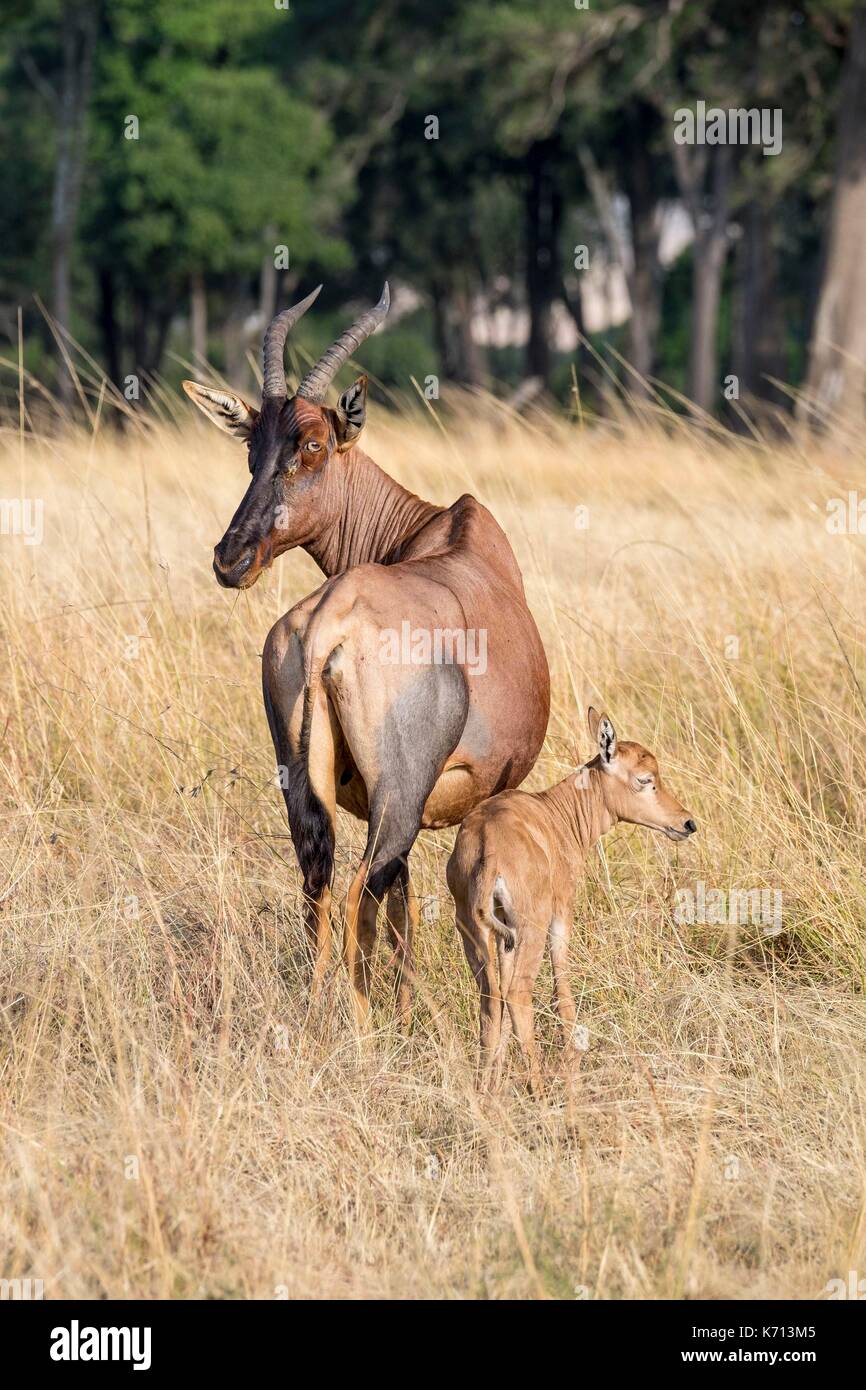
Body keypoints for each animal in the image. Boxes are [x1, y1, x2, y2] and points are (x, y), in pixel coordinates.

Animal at [183, 284, 547, 1023]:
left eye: (312, 444)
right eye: (252, 448)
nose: (232, 559)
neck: (441, 529)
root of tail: (330, 623)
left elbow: (402, 907)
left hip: (307, 792)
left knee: (321, 890)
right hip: (397, 799)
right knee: (358, 893)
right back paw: (358, 1026)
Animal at [447, 711, 697, 1089]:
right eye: (645, 779)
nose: (686, 823)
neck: (554, 813)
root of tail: (489, 847)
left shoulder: (504, 937)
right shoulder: (560, 916)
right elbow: (562, 992)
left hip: (476, 932)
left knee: (492, 1000)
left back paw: (485, 1091)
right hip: (530, 929)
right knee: (518, 994)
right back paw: (538, 1087)